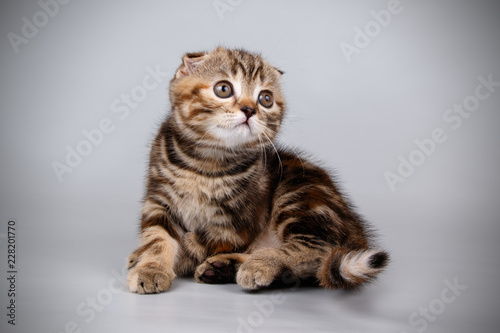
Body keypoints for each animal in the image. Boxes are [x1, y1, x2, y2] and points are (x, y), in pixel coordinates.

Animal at [126, 46, 390, 294]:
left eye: (265, 98)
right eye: (223, 89)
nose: (249, 110)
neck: (205, 162)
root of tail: (357, 231)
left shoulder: (236, 223)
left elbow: (193, 242)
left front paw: (169, 261)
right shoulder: (159, 200)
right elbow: (157, 237)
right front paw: (150, 266)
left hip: (299, 193)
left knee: (319, 251)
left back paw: (258, 264)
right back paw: (223, 267)